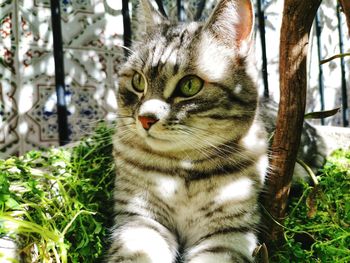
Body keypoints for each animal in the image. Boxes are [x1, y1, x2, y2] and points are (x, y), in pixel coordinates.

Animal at [109, 0, 268, 262]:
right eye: (138, 81)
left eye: (190, 85)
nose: (145, 119)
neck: (183, 168)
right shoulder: (140, 218)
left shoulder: (227, 233)